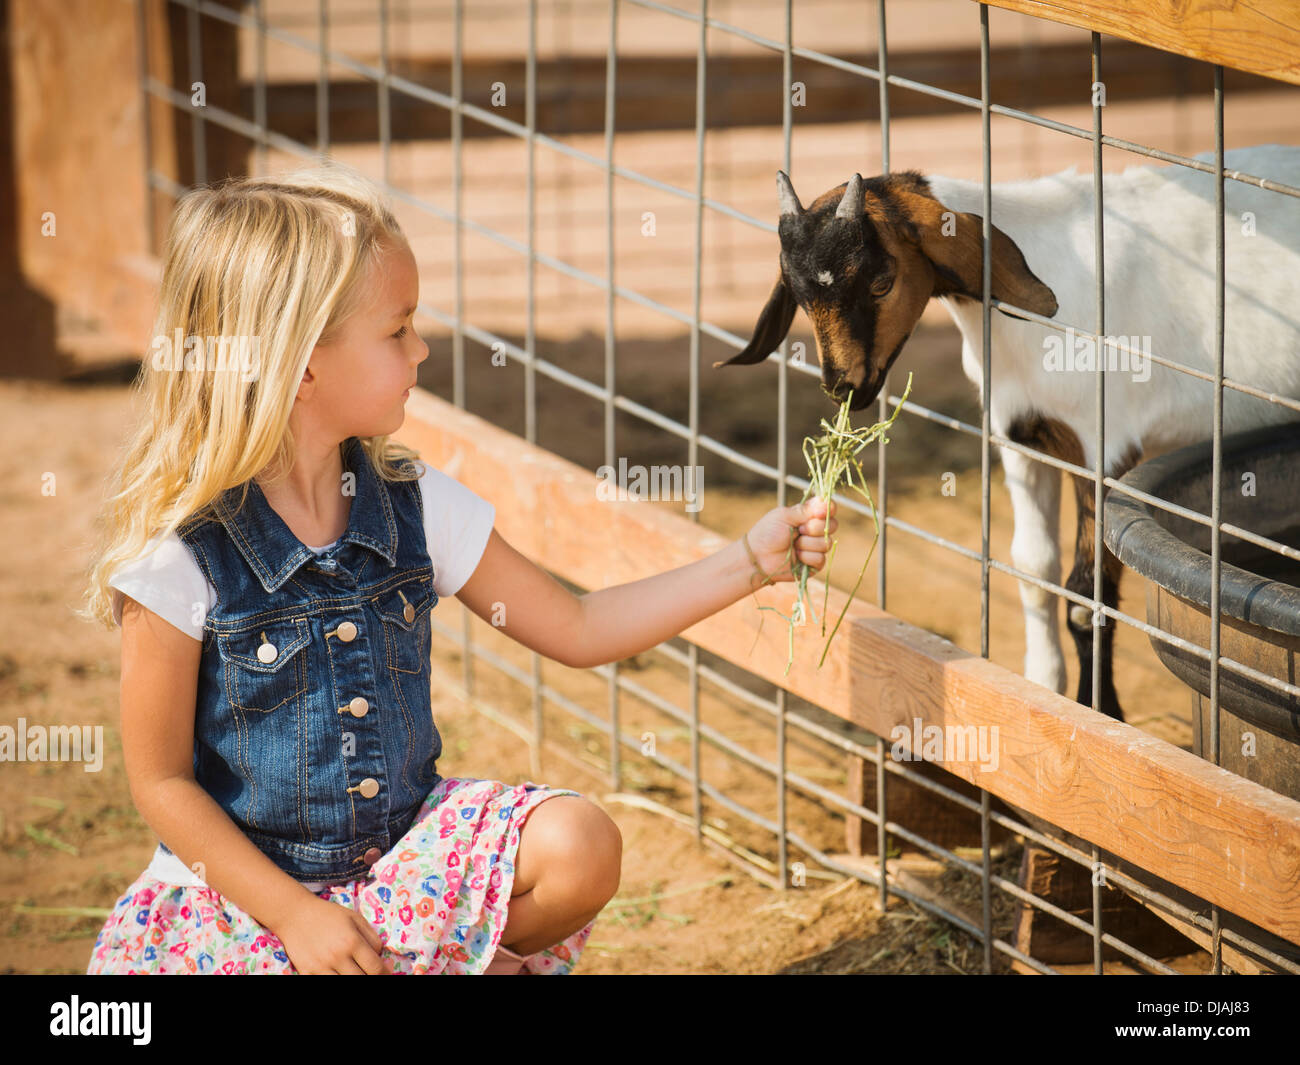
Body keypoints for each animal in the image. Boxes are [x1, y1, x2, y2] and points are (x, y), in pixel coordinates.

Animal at [717, 145, 1300, 723]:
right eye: (796, 294)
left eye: (881, 281)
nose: (843, 386)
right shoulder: (1023, 440)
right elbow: (1032, 568)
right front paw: (1042, 686)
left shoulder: (1103, 448)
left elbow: (1086, 595)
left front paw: (1100, 713)